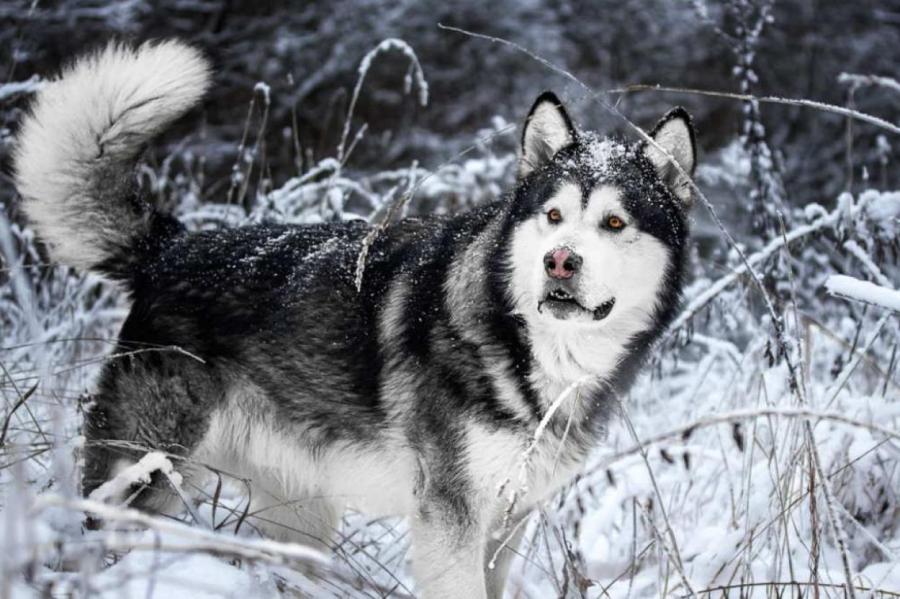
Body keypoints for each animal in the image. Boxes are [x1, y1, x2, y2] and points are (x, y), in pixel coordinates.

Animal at [15, 42, 696, 599]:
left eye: (614, 222)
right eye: (553, 216)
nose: (560, 261)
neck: (536, 353)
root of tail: (172, 248)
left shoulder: (507, 523)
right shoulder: (449, 519)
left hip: (299, 520)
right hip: (141, 481)